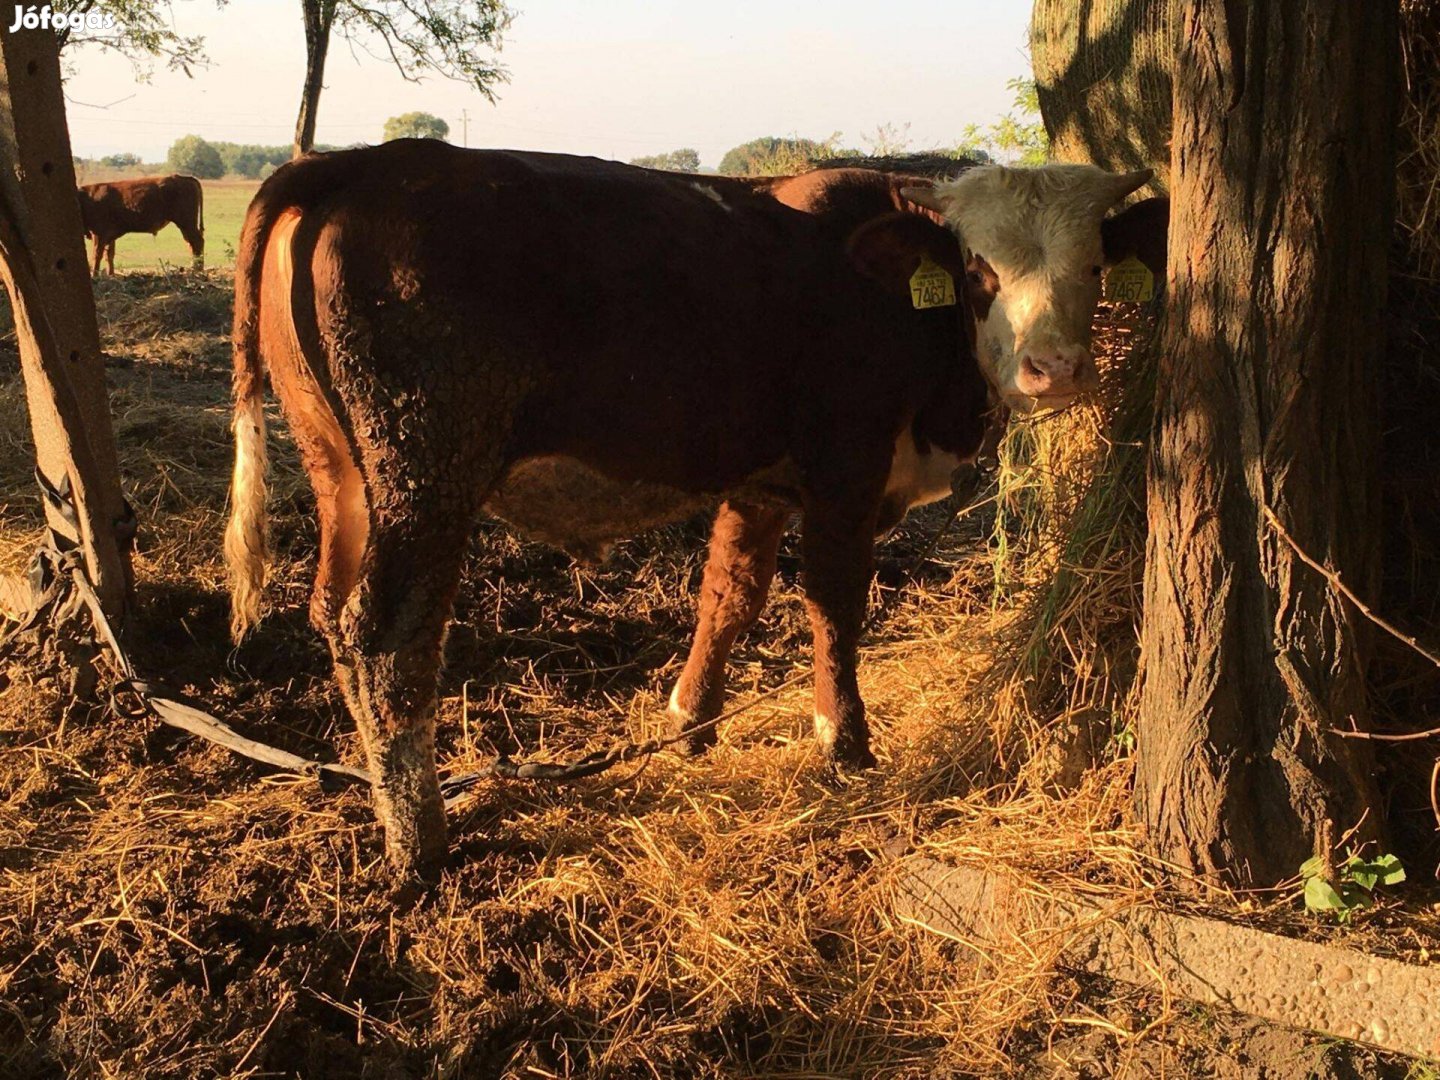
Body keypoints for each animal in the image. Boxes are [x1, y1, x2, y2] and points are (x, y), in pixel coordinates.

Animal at [227, 141, 1169, 881]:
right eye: (978, 272)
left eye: (1093, 266)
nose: (1054, 368)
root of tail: (360, 161)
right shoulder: (845, 468)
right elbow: (834, 606)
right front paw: (844, 743)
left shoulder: (758, 482)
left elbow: (728, 597)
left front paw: (690, 724)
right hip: (426, 472)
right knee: (388, 638)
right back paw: (419, 843)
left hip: (343, 475)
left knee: (331, 615)